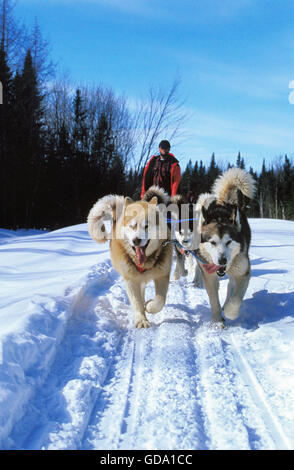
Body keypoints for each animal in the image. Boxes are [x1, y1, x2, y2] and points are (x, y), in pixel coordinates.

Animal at [88, 186, 173, 326]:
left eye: (146, 226)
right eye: (132, 226)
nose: (136, 240)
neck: (144, 263)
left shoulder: (162, 276)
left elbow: (160, 301)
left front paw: (149, 306)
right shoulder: (131, 280)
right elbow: (136, 302)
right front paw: (141, 319)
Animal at [195, 168, 255, 324]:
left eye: (228, 242)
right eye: (212, 242)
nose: (222, 260)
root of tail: (226, 202)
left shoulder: (244, 272)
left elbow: (236, 299)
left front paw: (229, 312)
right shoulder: (209, 274)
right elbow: (213, 299)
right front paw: (217, 322)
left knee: (231, 286)